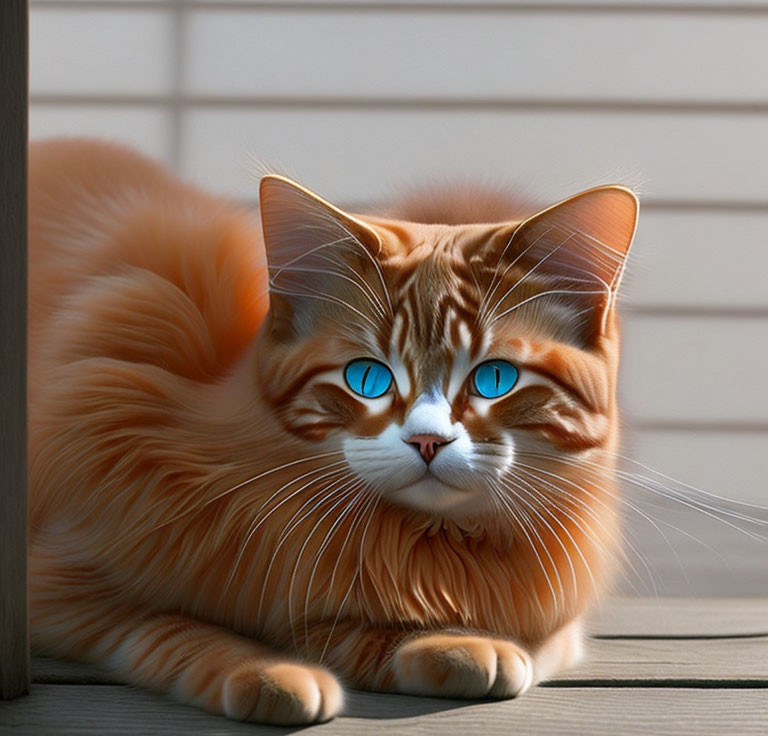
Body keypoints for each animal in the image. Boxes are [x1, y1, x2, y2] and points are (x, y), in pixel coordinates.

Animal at [30, 138, 640, 724]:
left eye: (495, 379)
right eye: (367, 378)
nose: (427, 442)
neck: (414, 542)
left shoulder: (556, 622)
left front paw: (443, 642)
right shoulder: (61, 581)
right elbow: (175, 629)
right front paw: (274, 672)